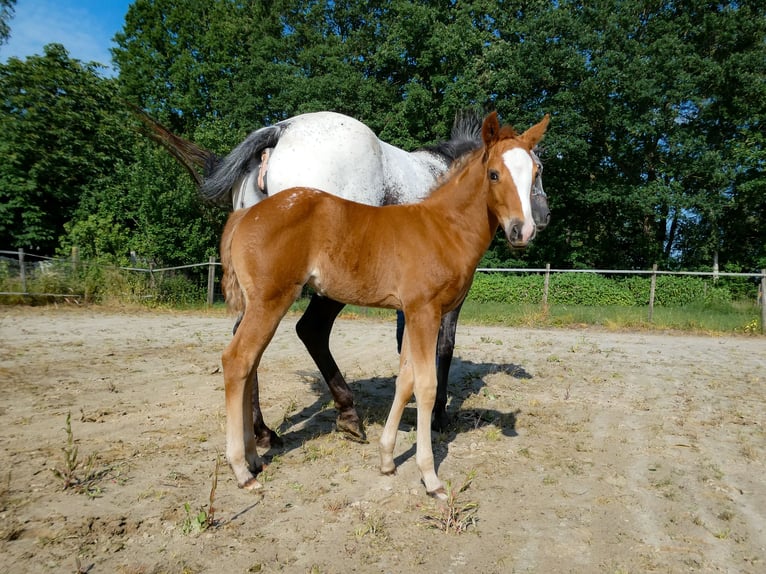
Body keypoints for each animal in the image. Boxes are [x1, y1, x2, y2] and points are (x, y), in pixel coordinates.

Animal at [137, 109, 550, 446]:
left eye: (535, 169)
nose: (538, 221)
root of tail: (279, 131)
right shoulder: (446, 297)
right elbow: (442, 348)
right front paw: (437, 417)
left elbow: (408, 349)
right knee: (309, 330)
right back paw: (345, 415)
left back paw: (264, 432)